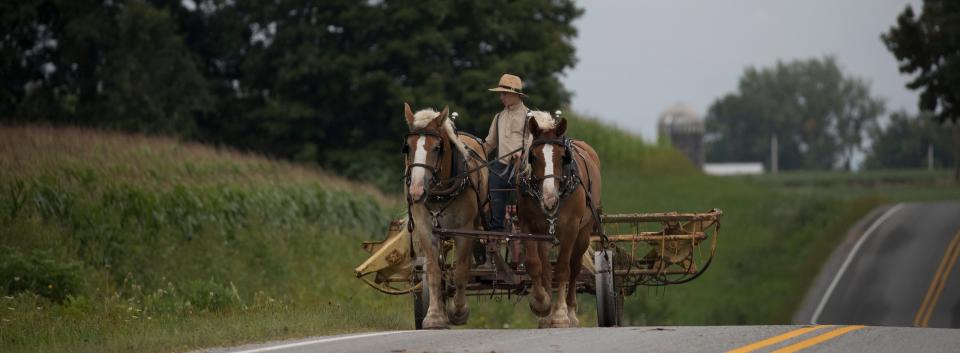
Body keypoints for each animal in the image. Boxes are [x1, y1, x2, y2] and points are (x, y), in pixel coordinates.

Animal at [400, 103, 488, 328]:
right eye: (407, 147)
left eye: (437, 148)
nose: (416, 191)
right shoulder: (426, 228)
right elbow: (433, 271)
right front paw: (434, 316)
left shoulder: (465, 230)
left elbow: (461, 271)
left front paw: (458, 311)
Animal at [516, 110, 600, 328]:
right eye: (533, 157)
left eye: (563, 157)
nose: (550, 199)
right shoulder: (529, 226)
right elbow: (535, 265)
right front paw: (542, 304)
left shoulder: (570, 228)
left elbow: (562, 268)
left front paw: (561, 315)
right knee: (546, 268)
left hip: (583, 232)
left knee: (575, 267)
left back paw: (571, 312)